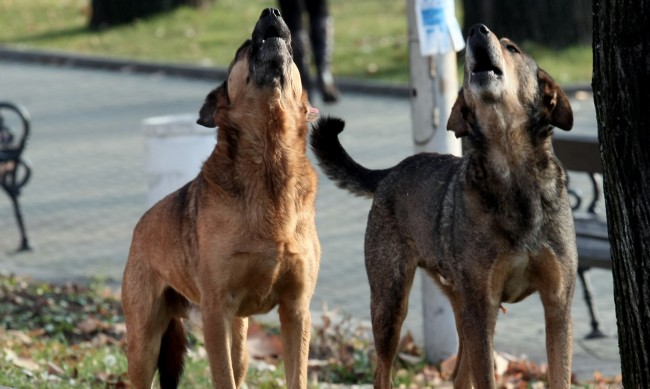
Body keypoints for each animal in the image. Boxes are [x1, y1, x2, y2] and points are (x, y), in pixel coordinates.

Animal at [121, 7, 318, 386]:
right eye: (243, 47)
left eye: (291, 48)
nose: (272, 11)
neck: (270, 166)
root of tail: (139, 227)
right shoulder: (216, 312)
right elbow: (221, 377)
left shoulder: (297, 311)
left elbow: (296, 377)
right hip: (144, 345)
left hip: (240, 342)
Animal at [310, 25, 576, 388]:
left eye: (513, 48)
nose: (476, 30)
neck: (512, 175)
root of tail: (391, 171)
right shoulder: (482, 307)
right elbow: (486, 378)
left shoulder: (557, 304)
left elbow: (559, 374)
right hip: (391, 304)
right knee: (383, 372)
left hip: (458, 306)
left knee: (458, 376)